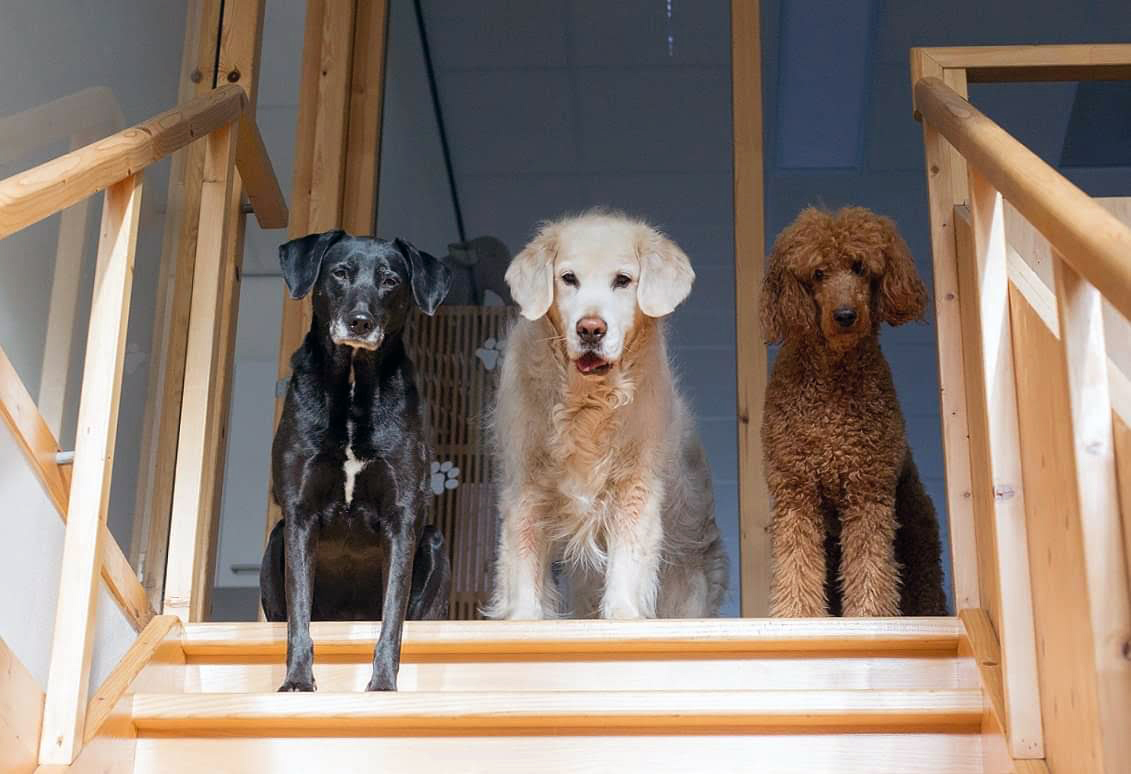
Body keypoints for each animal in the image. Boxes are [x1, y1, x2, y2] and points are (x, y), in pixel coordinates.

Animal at [262, 228, 452, 688]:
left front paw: (382, 684)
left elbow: (391, 620)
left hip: (435, 543)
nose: (360, 322)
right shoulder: (299, 515)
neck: (351, 384)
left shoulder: (403, 519)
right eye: (340, 273)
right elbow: (298, 618)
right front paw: (297, 680)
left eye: (390, 281)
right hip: (275, 540)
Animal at [484, 208, 723, 620]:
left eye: (623, 280)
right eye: (568, 278)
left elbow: (628, 559)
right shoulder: (525, 483)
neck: (588, 403)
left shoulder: (635, 484)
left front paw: (623, 615)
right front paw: (524, 620)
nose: (590, 329)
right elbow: (522, 559)